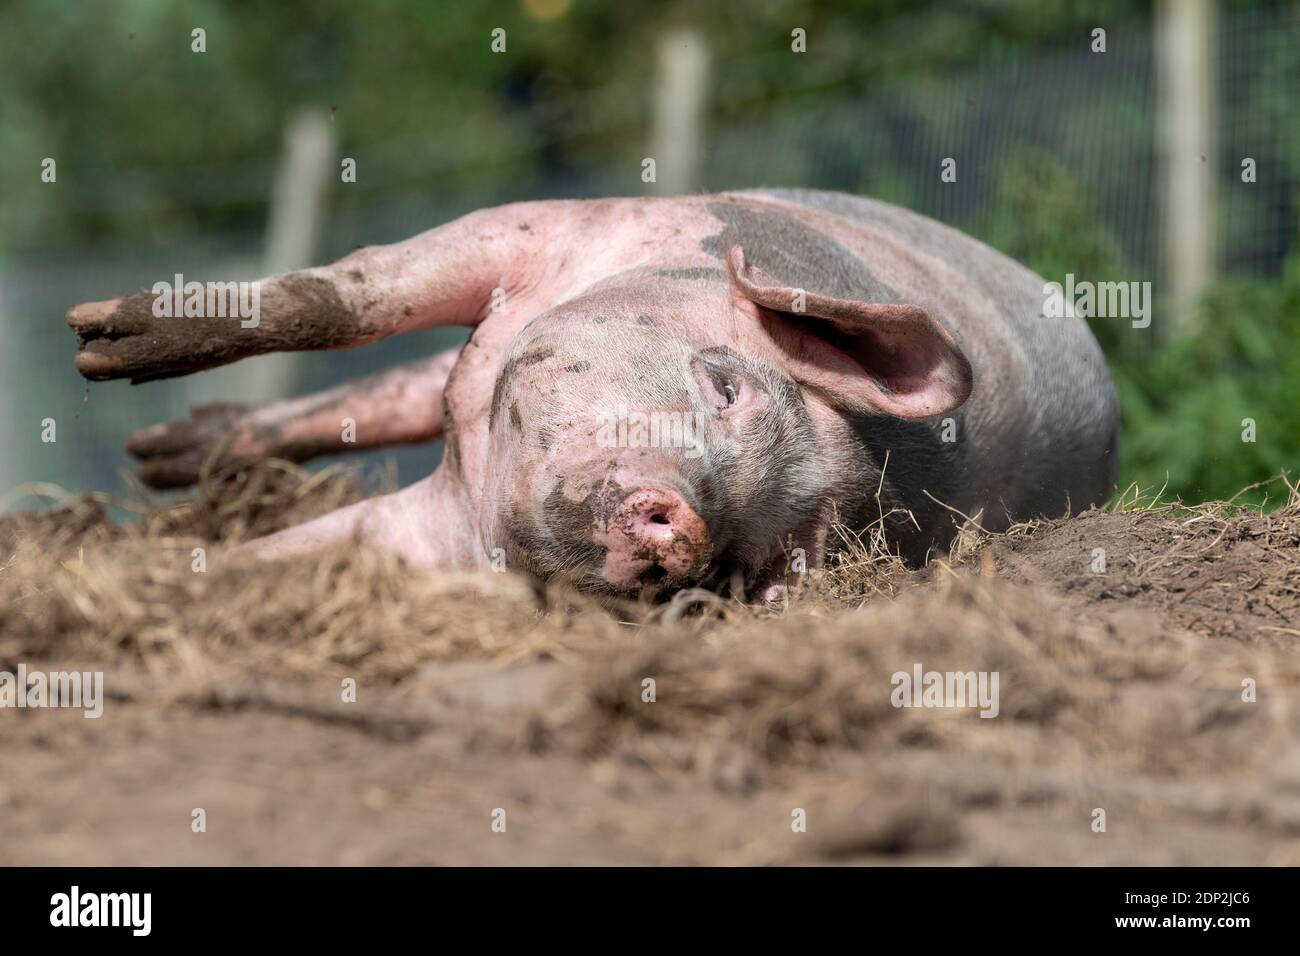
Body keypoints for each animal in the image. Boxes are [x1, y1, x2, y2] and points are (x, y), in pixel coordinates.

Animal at [68, 189, 1118, 600]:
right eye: (724, 387)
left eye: (751, 560)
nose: (681, 525)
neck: (473, 459)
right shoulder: (550, 225)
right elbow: (347, 300)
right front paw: (100, 345)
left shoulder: (431, 534)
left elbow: (286, 556)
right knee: (391, 382)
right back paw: (156, 446)